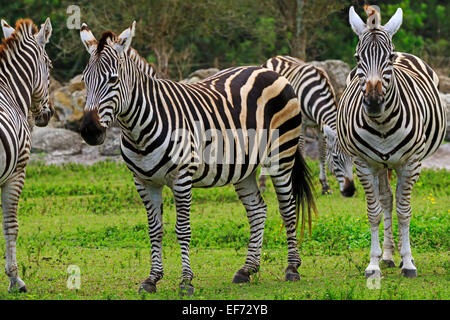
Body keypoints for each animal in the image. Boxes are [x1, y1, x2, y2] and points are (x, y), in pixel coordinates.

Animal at [77, 21, 316, 294]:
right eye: (84, 80)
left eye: (113, 80)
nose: (89, 131)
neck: (138, 131)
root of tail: (267, 70)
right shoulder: (144, 182)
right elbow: (155, 229)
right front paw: (152, 278)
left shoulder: (182, 178)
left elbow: (182, 229)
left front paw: (186, 281)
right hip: (244, 166)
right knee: (258, 210)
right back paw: (247, 269)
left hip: (281, 156)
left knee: (287, 208)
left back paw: (292, 268)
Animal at [258, 56, 356, 198]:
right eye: (336, 158)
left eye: (353, 158)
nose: (350, 191)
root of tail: (275, 57)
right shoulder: (302, 125)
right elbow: (303, 151)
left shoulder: (320, 125)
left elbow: (321, 152)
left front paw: (325, 186)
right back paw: (262, 184)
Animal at [338, 6, 446, 278]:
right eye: (358, 58)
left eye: (389, 57)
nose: (374, 102)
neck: (383, 125)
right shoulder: (364, 164)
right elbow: (375, 211)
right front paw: (373, 263)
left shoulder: (410, 163)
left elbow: (404, 211)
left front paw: (408, 262)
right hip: (380, 165)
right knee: (386, 200)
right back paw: (387, 255)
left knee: (396, 202)